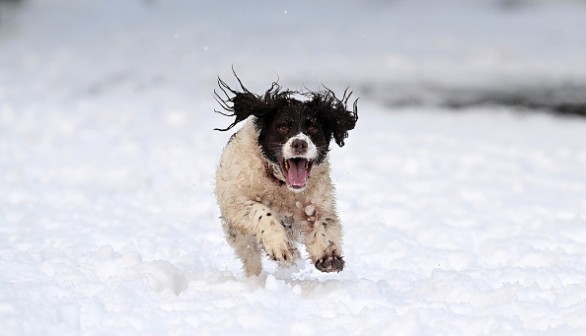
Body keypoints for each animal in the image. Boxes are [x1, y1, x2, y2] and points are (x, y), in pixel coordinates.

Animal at [211, 75, 354, 276]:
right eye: (283, 127)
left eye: (313, 129)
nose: (299, 143)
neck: (280, 184)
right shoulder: (236, 202)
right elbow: (261, 211)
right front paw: (279, 245)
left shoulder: (317, 204)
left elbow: (323, 223)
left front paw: (328, 255)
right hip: (237, 234)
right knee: (250, 256)